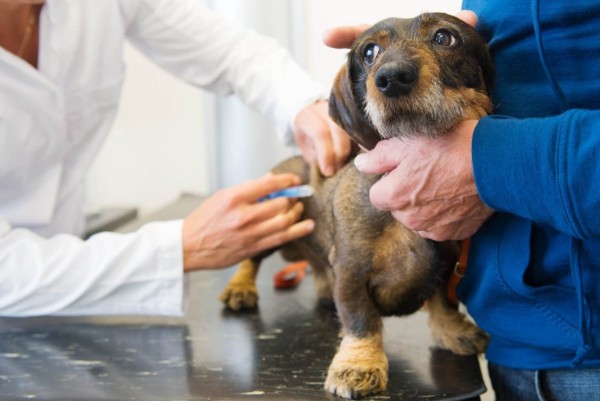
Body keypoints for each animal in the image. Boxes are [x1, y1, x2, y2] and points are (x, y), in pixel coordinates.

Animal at [219, 11, 492, 396]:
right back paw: (240, 287)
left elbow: (443, 302)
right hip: (276, 218)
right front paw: (358, 365)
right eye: (370, 52)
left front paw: (452, 331)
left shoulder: (446, 263)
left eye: (444, 37)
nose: (392, 79)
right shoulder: (351, 270)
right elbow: (361, 320)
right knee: (252, 257)